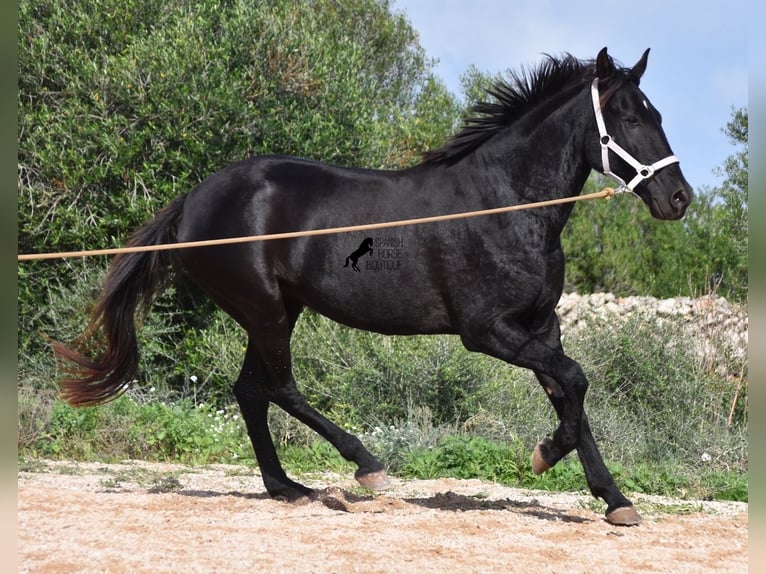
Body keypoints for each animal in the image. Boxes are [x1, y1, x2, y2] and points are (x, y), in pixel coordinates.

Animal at [55, 49, 696, 528]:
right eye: (631, 118)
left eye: (658, 114)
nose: (679, 199)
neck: (505, 205)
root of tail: (194, 198)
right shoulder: (488, 330)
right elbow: (576, 381)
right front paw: (544, 457)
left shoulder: (542, 325)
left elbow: (570, 394)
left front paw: (615, 500)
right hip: (265, 311)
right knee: (278, 386)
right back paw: (364, 466)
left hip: (276, 311)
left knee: (250, 391)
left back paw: (289, 487)